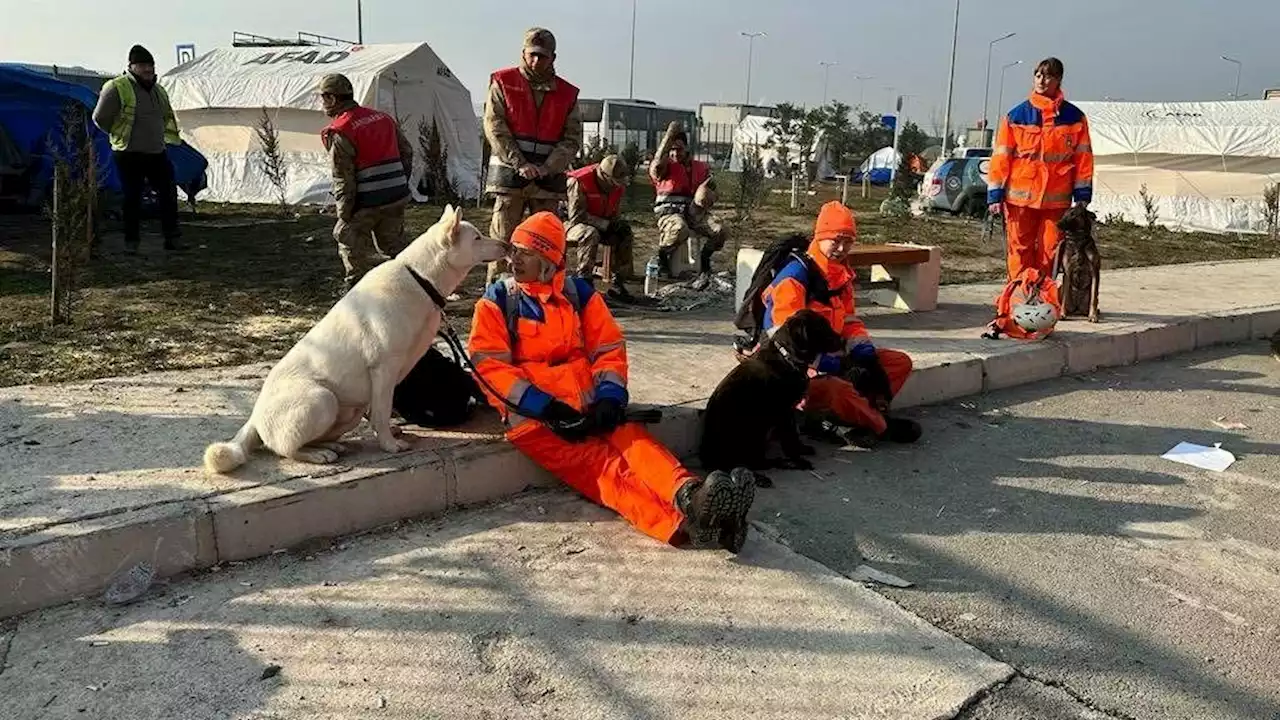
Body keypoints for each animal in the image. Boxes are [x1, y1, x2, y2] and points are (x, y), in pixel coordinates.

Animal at [203, 203, 504, 471]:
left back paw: (331, 446)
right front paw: (389, 445)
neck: (421, 278)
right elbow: (382, 412)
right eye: (477, 238)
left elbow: (383, 411)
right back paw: (318, 455)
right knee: (285, 449)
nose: (505, 245)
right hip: (322, 400)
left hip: (349, 411)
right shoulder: (384, 369)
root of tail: (254, 416)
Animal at [696, 307, 844, 481]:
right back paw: (772, 470)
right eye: (823, 327)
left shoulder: (789, 411)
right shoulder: (784, 412)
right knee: (749, 463)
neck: (786, 357)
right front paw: (798, 459)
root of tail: (708, 459)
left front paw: (801, 449)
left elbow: (794, 435)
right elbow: (789, 439)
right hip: (754, 429)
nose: (843, 340)